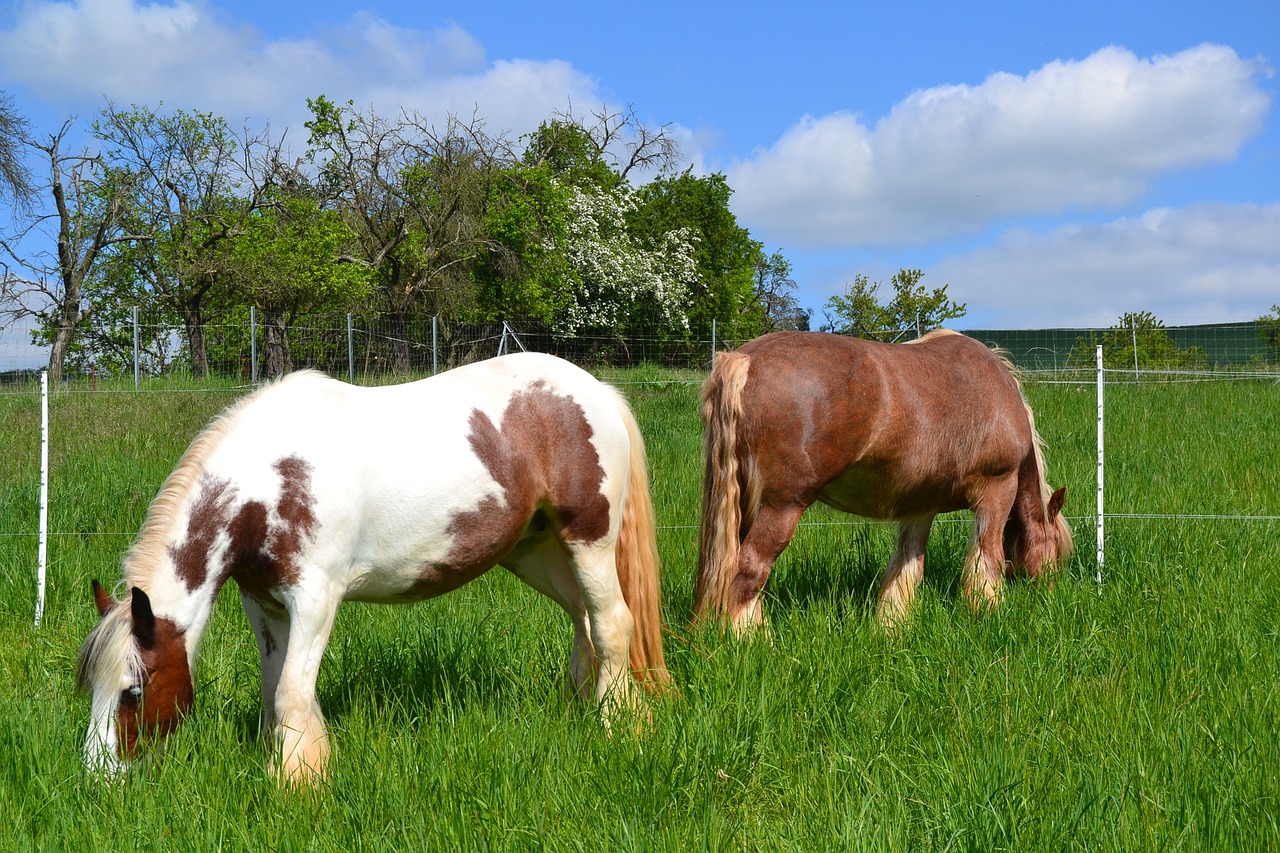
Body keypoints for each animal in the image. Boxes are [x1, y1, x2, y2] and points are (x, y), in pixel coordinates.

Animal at [77, 350, 670, 778]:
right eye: (91, 689)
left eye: (133, 691)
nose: (98, 778)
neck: (269, 482)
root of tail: (598, 392)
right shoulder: (264, 604)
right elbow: (277, 693)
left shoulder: (316, 600)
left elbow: (292, 694)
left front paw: (294, 784)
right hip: (536, 554)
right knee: (585, 621)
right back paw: (584, 709)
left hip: (589, 542)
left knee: (613, 624)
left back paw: (618, 727)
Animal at [696, 327, 1075, 627]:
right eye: (1055, 550)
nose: (1050, 595)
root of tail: (744, 360)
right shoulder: (998, 489)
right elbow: (987, 559)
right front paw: (988, 612)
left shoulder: (920, 509)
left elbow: (905, 569)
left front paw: (891, 626)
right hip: (782, 506)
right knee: (750, 570)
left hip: (743, 508)